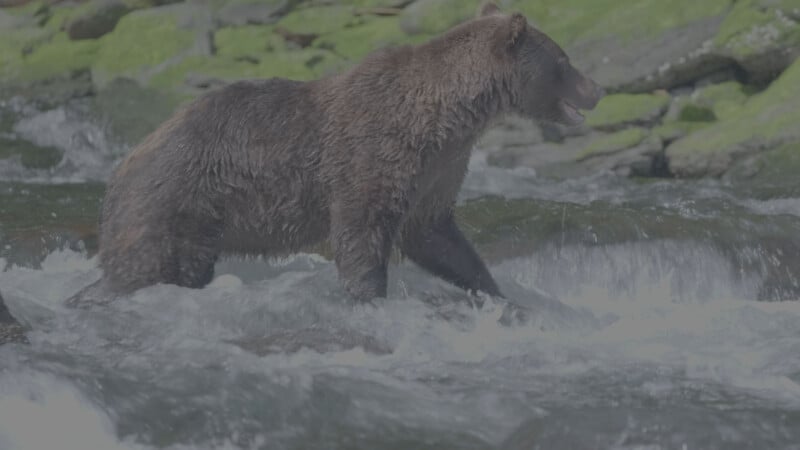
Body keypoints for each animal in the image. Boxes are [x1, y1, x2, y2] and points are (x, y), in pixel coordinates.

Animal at [68, 2, 603, 305]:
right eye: (565, 59)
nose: (596, 89)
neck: (448, 115)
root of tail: (120, 167)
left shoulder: (440, 167)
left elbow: (435, 234)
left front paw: (494, 291)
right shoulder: (374, 152)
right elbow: (359, 233)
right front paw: (370, 299)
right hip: (173, 200)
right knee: (146, 266)